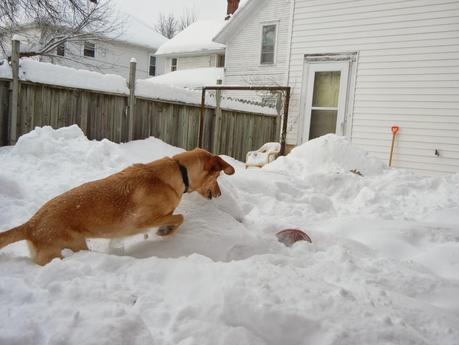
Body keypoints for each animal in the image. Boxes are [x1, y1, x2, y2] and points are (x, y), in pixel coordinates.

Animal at [0, 147, 235, 264]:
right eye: (218, 177)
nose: (220, 194)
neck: (178, 172)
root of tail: (30, 225)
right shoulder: (140, 221)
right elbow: (179, 217)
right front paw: (165, 230)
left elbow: (176, 216)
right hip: (71, 246)